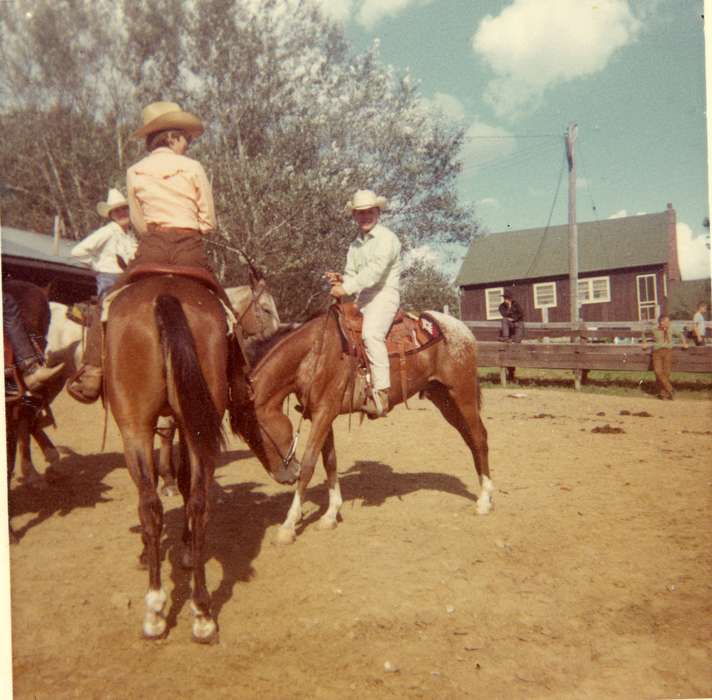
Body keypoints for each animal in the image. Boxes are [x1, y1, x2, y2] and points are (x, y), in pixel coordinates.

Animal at [103, 270, 298, 644]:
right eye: (266, 308)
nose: (294, 470)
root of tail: (165, 294)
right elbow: (179, 484)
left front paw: (164, 550)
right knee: (189, 503)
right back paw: (195, 613)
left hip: (142, 428)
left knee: (160, 503)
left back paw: (167, 609)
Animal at [234, 304, 496, 544]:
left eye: (255, 434)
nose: (285, 477)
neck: (314, 352)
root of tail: (462, 330)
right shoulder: (322, 415)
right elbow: (330, 461)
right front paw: (330, 515)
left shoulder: (323, 413)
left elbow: (309, 464)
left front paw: (288, 525)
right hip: (443, 398)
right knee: (471, 439)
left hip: (462, 394)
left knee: (479, 437)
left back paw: (484, 501)